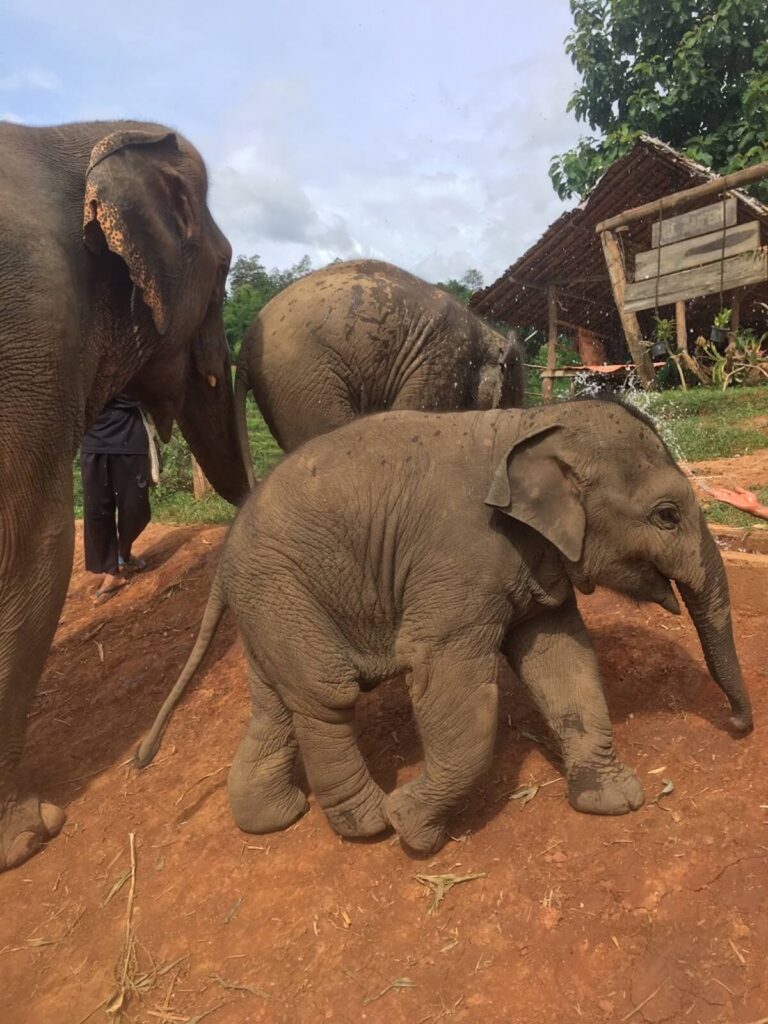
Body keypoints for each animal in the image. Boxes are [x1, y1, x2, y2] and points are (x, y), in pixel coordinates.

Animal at [137, 397, 751, 855]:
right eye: (666, 516)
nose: (739, 725)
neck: (531, 422)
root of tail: (225, 553)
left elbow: (563, 658)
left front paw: (615, 802)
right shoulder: (459, 561)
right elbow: (453, 682)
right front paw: (412, 829)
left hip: (271, 607)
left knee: (276, 702)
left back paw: (273, 820)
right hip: (281, 587)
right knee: (325, 694)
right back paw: (370, 824)